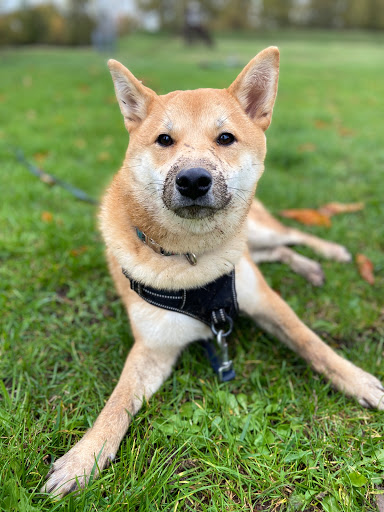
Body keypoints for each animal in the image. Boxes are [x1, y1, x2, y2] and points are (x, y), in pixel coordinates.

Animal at [42, 47, 384, 496]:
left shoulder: (266, 302)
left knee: (290, 236)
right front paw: (84, 457)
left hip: (257, 230)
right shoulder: (153, 347)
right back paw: (309, 267)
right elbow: (116, 404)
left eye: (225, 138)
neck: (194, 259)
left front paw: (359, 380)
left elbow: (314, 345)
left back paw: (327, 253)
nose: (193, 180)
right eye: (164, 140)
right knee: (278, 250)